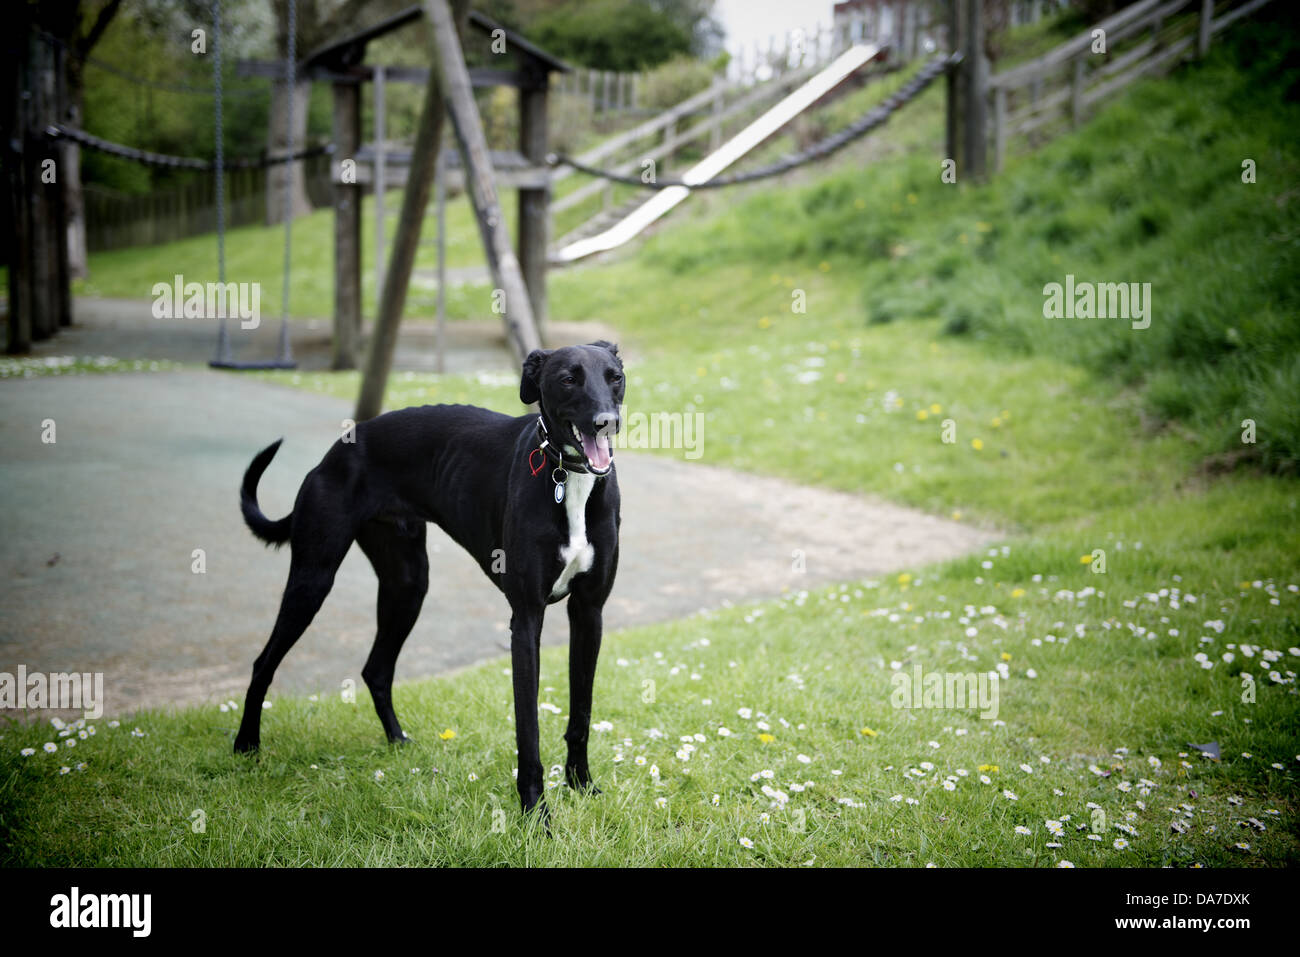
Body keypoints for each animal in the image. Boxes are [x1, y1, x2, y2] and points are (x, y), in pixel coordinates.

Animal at [237, 340, 624, 811]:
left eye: (614, 377)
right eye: (568, 379)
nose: (607, 422)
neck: (569, 479)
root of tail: (335, 452)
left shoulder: (589, 612)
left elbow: (581, 712)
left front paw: (582, 785)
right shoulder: (526, 618)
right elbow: (528, 730)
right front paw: (535, 812)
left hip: (407, 585)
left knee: (376, 669)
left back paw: (397, 740)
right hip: (313, 580)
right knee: (264, 662)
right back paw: (245, 746)